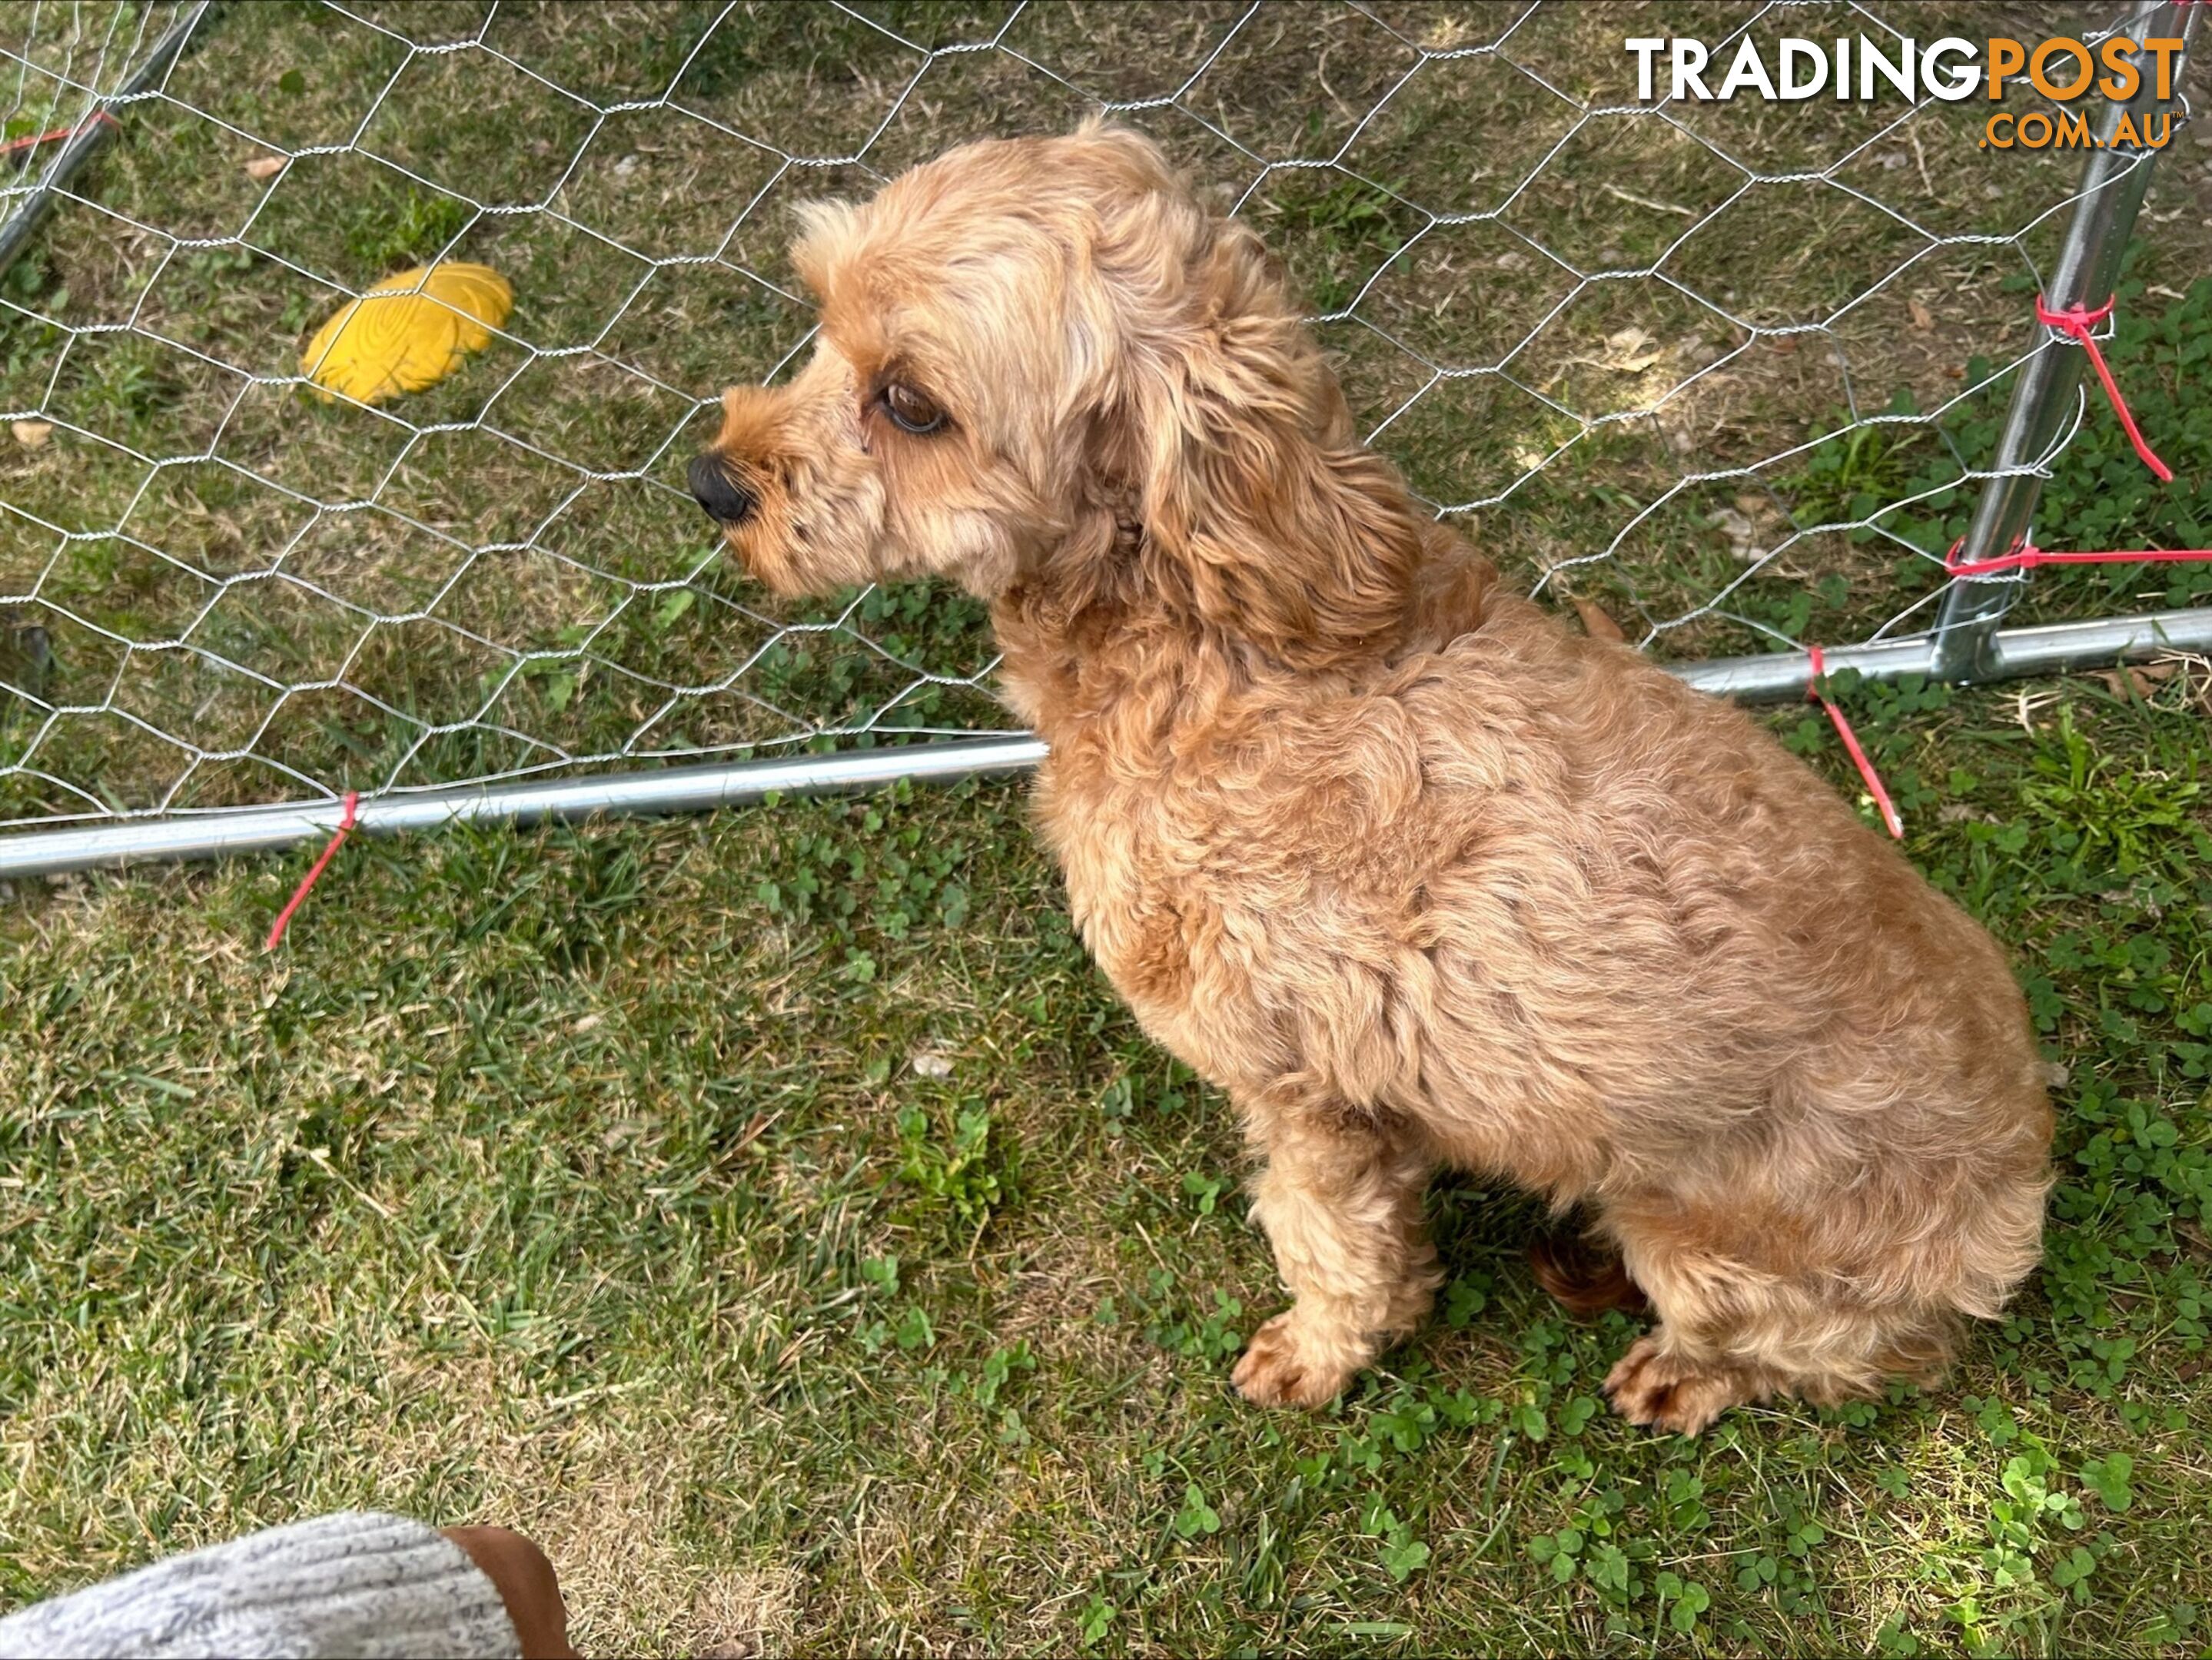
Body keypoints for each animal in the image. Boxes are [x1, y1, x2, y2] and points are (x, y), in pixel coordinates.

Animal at [694, 123, 2052, 1432]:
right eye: (821, 321)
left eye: (911, 404)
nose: (715, 480)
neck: (1212, 645)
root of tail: (2021, 1183)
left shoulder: (1307, 1093)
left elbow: (1332, 1245)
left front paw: (1318, 1355)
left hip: (1718, 1249)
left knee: (1846, 1355)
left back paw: (1687, 1373)